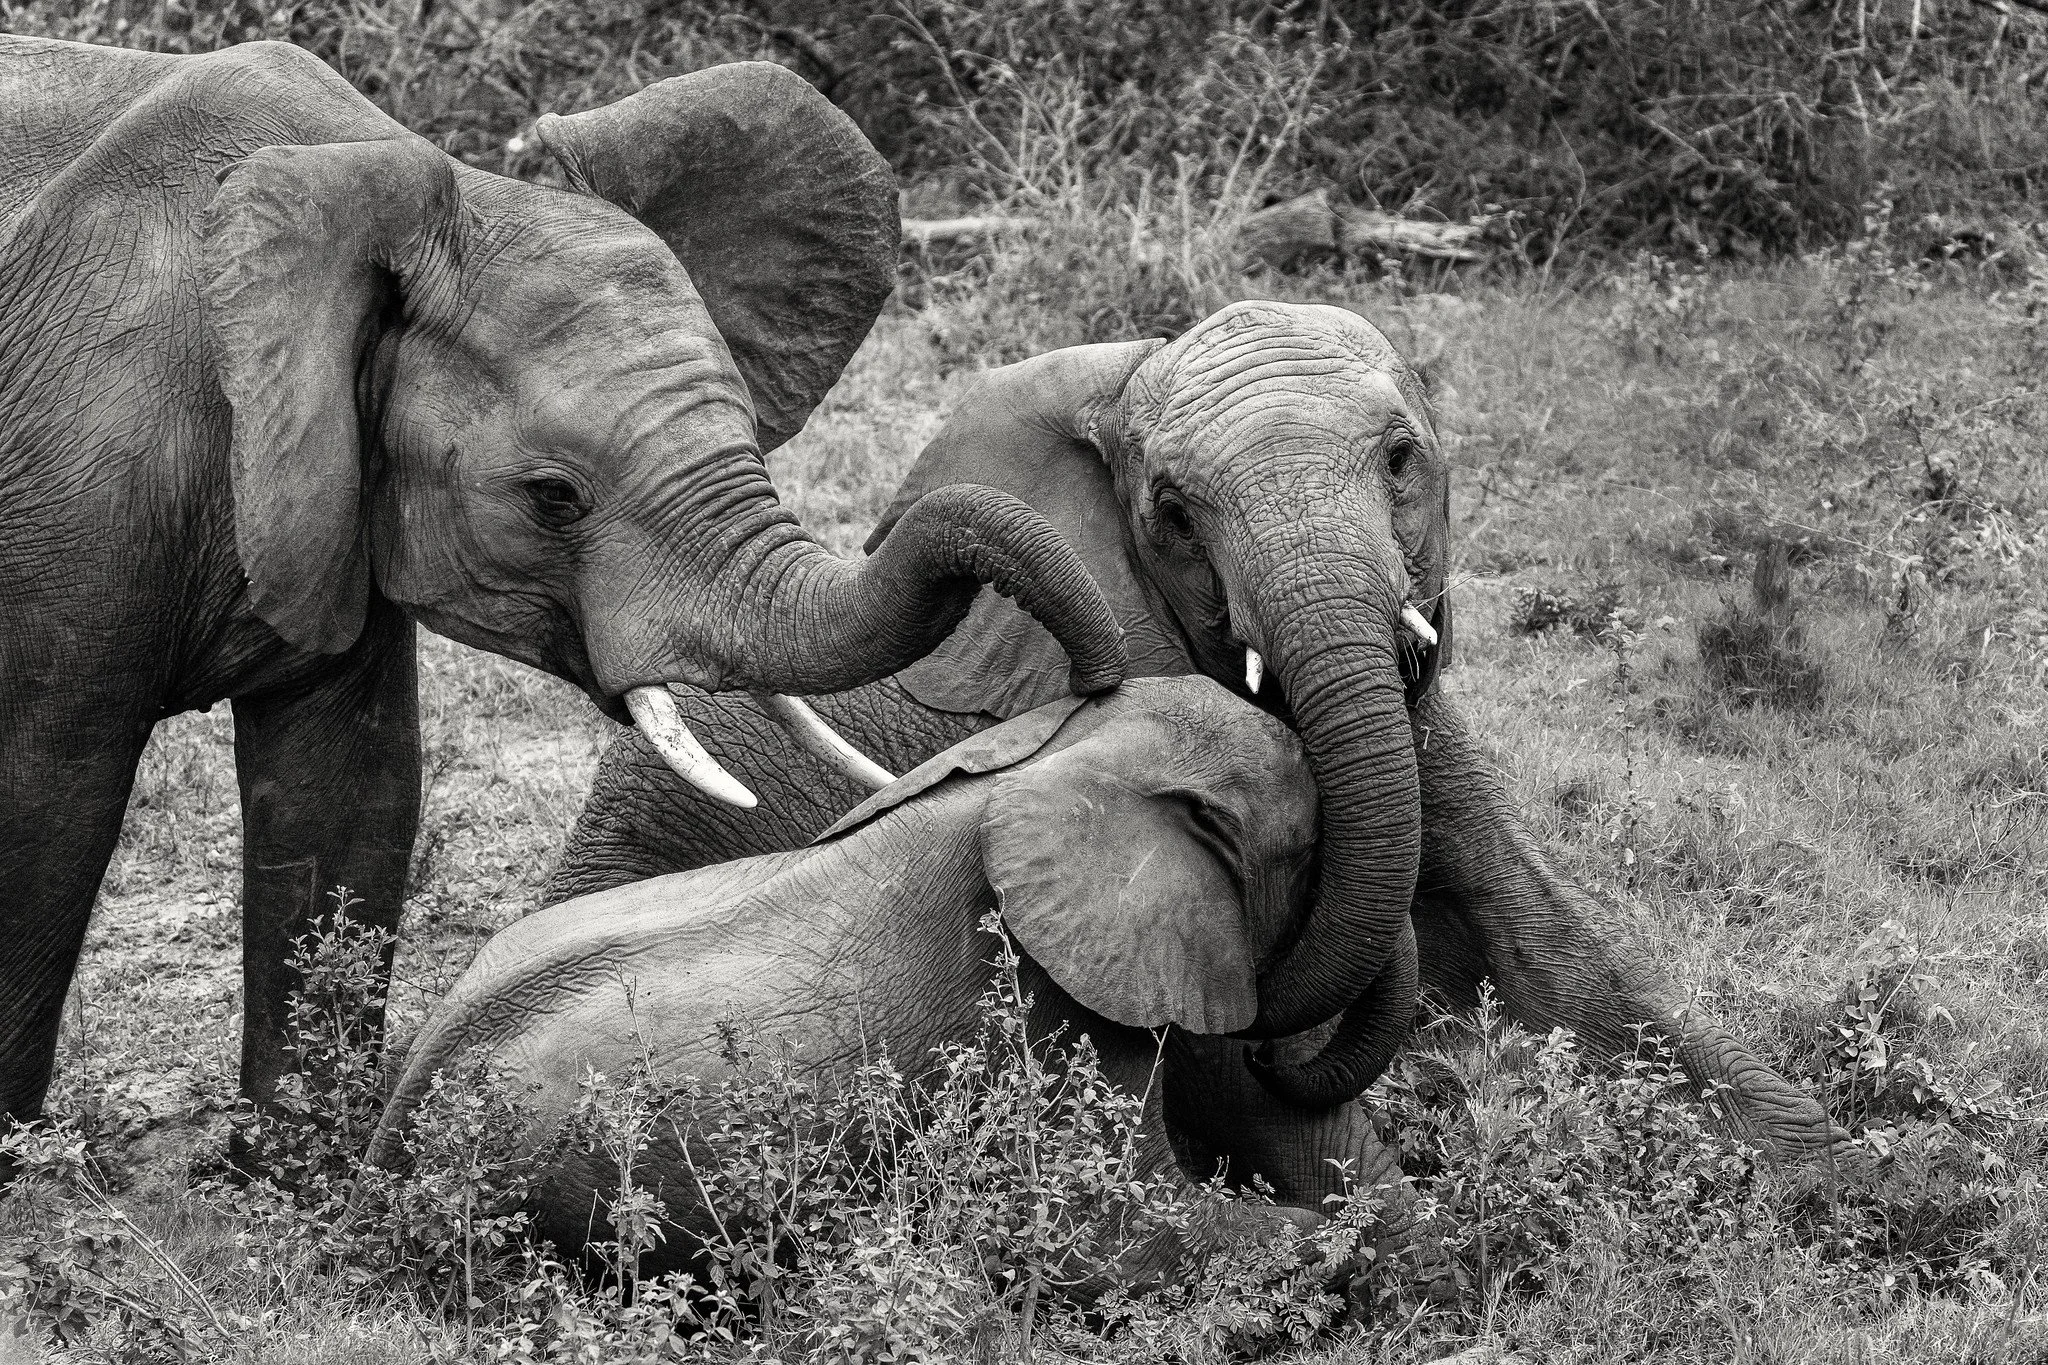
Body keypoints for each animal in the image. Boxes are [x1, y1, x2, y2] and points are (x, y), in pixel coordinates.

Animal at [0, 38, 1125, 1136]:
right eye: (553, 498)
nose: (1096, 691)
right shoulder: (78, 486)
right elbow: (46, 806)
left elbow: (349, 793)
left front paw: (293, 1172)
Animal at [370, 677, 1409, 1276]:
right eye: (1311, 851)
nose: (1271, 1053)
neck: (1062, 757)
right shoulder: (1040, 1013)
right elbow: (1115, 1242)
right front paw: (1342, 1239)